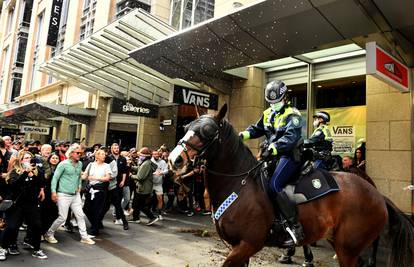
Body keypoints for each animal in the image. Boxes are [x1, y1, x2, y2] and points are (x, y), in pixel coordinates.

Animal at [168, 105, 414, 267]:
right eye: (187, 126)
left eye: (208, 131)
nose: (174, 160)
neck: (240, 185)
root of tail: (377, 194)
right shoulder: (239, 247)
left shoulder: (247, 244)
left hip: (348, 249)